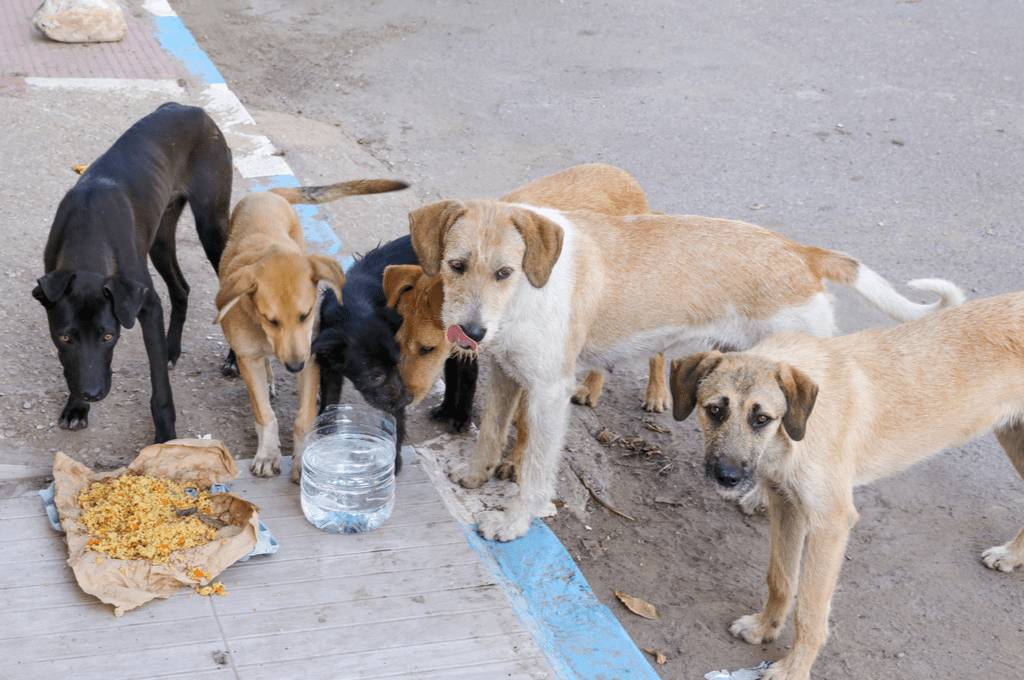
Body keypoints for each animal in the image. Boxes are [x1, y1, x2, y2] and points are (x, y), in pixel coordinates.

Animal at [33, 100, 232, 440]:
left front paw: (165, 435)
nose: (92, 394)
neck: (89, 229)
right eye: (66, 338)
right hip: (160, 239)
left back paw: (233, 360)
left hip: (212, 229)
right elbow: (72, 366)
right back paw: (171, 349)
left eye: (108, 336)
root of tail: (190, 108)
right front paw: (75, 407)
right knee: (181, 289)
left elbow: (159, 387)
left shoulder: (147, 306)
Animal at [217, 178, 407, 481]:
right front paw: (268, 453)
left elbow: (305, 417)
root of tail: (268, 194)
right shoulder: (249, 358)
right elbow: (264, 414)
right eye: (271, 320)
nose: (294, 366)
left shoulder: (312, 357)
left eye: (305, 315)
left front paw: (302, 459)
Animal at [315, 236, 419, 471]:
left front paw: (394, 459)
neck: (354, 308)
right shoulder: (328, 367)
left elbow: (395, 421)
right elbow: (329, 401)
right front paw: (325, 436)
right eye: (375, 375)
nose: (407, 400)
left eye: (396, 365)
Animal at [405, 199, 958, 540]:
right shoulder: (504, 374)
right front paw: (475, 476)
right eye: (456, 266)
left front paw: (516, 522)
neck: (527, 292)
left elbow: (535, 469)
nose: (471, 333)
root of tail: (801, 253)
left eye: (505, 272)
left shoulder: (547, 393)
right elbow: (490, 433)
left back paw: (760, 499)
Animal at [663, 288, 1024, 680]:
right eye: (714, 410)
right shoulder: (786, 506)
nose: (727, 476)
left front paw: (794, 669)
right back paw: (1013, 555)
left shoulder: (830, 524)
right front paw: (765, 627)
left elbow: (810, 611)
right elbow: (781, 579)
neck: (796, 428)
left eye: (761, 419)